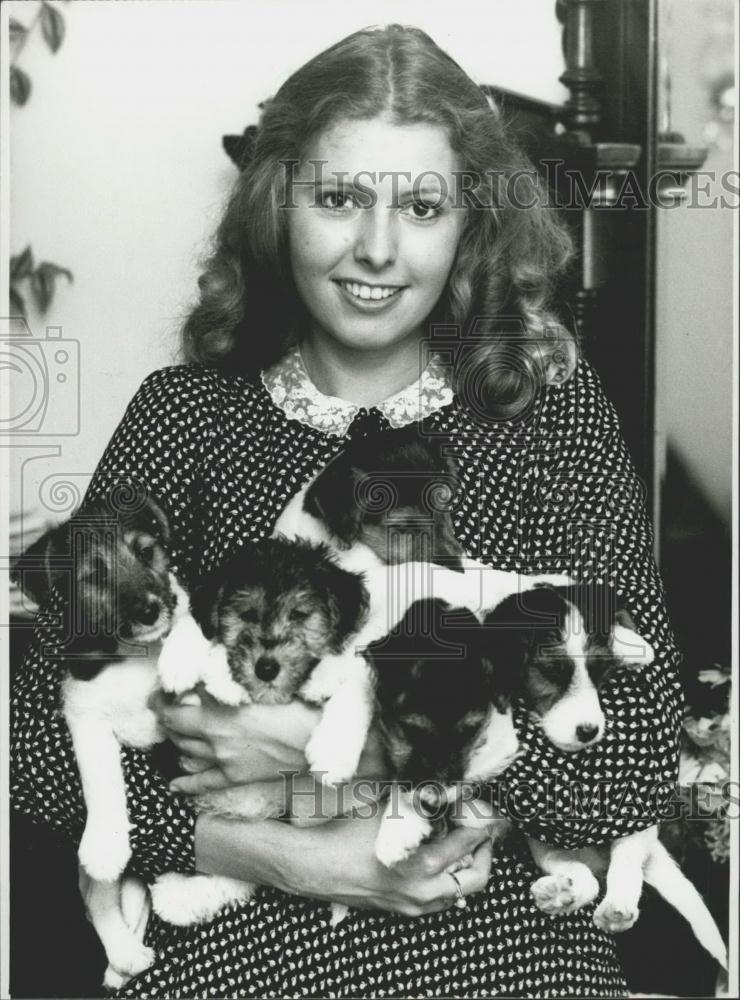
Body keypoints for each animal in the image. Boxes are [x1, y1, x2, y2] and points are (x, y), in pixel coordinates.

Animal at [480, 584, 728, 972]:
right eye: (550, 673)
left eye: (601, 674)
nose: (589, 731)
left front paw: (629, 641)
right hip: (545, 844)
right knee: (583, 878)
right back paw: (561, 894)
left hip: (635, 821)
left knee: (624, 867)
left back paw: (616, 908)